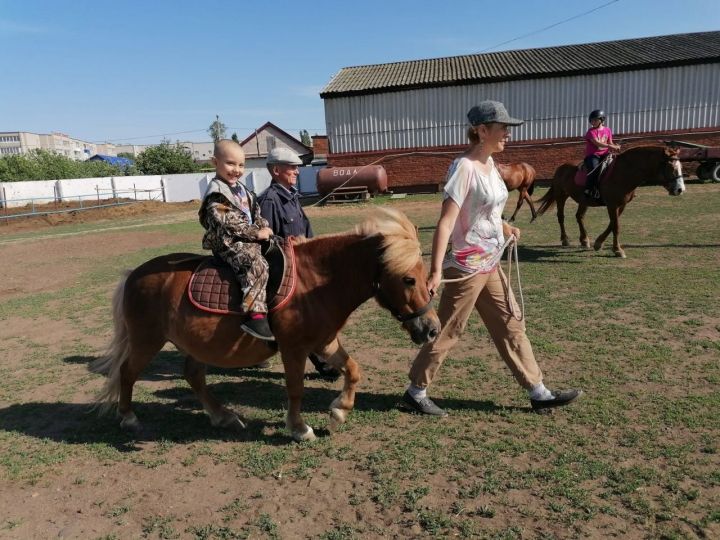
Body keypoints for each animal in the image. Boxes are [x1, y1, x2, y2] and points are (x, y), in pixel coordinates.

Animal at [93, 209, 442, 440]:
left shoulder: (324, 342)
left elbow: (354, 370)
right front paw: (300, 428)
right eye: (408, 279)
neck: (315, 281)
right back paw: (129, 418)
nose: (432, 329)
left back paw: (224, 417)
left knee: (193, 375)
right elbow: (296, 388)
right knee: (127, 372)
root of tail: (134, 275)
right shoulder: (294, 348)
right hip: (146, 340)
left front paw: (339, 411)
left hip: (194, 344)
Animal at [536, 147, 688, 258]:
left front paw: (598, 243)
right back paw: (565, 239)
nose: (680, 189)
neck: (624, 172)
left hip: (583, 200)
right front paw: (617, 250)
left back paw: (584, 240)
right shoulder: (612, 205)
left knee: (579, 217)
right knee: (561, 217)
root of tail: (560, 168)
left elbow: (612, 224)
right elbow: (616, 226)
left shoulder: (621, 205)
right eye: (670, 167)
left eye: (680, 166)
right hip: (561, 195)